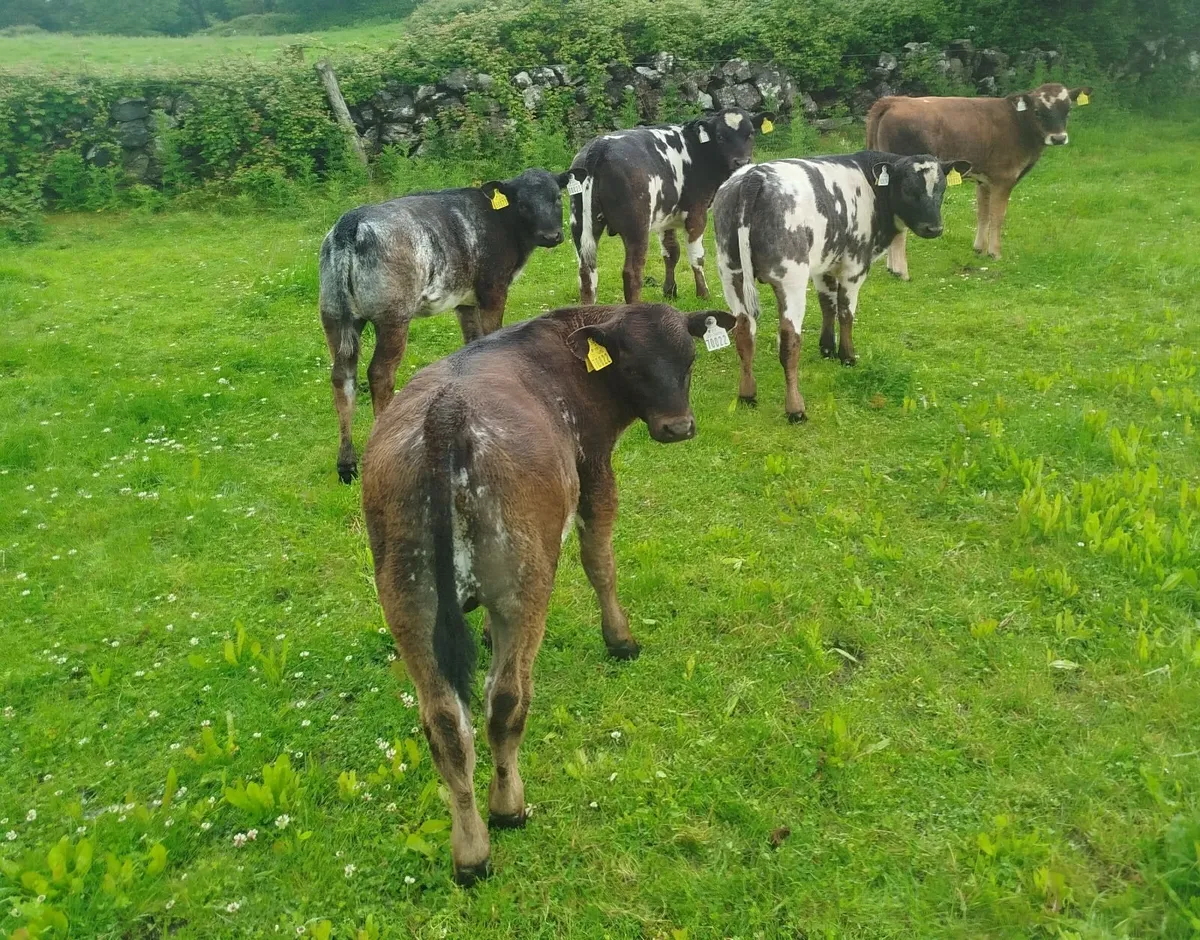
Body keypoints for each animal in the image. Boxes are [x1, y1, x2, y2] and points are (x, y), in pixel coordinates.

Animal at [318, 167, 584, 484]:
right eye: (522, 204)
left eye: (557, 197)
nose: (551, 235)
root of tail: (350, 224)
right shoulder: (492, 288)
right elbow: (491, 334)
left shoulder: (465, 300)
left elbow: (472, 340)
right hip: (393, 315)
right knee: (379, 373)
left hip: (335, 314)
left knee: (342, 376)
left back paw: (346, 464)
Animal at [362, 302, 736, 885]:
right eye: (633, 366)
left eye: (690, 358)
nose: (678, 427)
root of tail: (447, 416)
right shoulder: (595, 470)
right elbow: (600, 564)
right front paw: (620, 638)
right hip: (526, 583)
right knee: (505, 700)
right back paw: (507, 808)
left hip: (409, 599)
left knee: (445, 723)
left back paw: (470, 849)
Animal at [567, 108, 774, 306]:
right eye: (721, 136)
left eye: (751, 133)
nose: (742, 162)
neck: (698, 150)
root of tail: (600, 145)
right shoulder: (696, 212)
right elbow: (697, 256)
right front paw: (703, 294)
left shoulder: (666, 217)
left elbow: (671, 252)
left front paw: (670, 291)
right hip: (636, 227)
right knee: (632, 272)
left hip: (580, 224)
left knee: (586, 271)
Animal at [713, 151, 970, 422]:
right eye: (908, 189)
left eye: (941, 188)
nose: (934, 228)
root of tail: (754, 176)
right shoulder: (854, 267)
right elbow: (846, 312)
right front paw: (847, 356)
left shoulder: (824, 266)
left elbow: (828, 305)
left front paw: (827, 349)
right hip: (791, 278)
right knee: (789, 342)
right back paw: (795, 408)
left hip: (731, 273)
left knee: (744, 332)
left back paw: (747, 394)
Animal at [866, 83, 1092, 275]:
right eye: (1038, 112)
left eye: (1068, 110)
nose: (1058, 138)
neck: (1018, 124)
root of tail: (894, 100)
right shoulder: (1004, 178)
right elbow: (997, 215)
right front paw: (995, 252)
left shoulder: (984, 180)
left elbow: (983, 213)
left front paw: (979, 248)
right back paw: (900, 270)